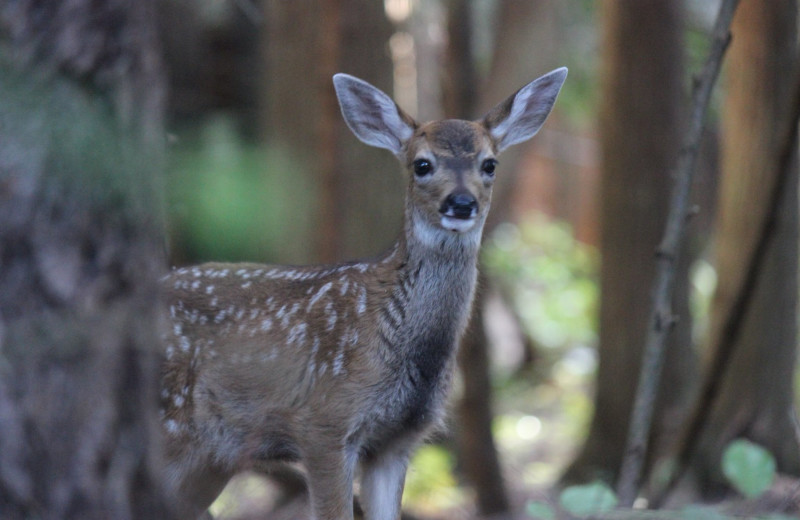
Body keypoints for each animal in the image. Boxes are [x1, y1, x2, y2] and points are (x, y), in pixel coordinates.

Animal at [159, 67, 564, 516]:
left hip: (210, 458)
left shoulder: (398, 441)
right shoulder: (323, 424)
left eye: (489, 164)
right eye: (422, 164)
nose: (461, 203)